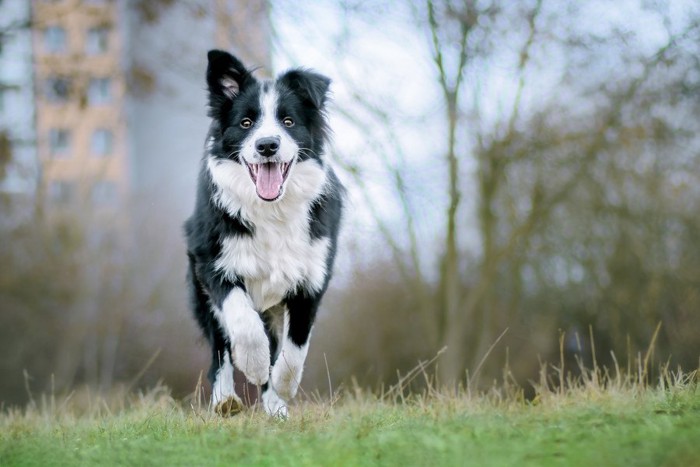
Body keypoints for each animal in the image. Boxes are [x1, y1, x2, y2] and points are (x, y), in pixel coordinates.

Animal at [183, 50, 342, 416]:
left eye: (288, 122)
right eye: (246, 123)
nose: (267, 145)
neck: (272, 210)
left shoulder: (312, 275)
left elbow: (296, 344)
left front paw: (282, 387)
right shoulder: (212, 262)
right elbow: (242, 322)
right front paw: (254, 365)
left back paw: (275, 406)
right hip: (201, 293)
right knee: (220, 347)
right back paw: (225, 399)